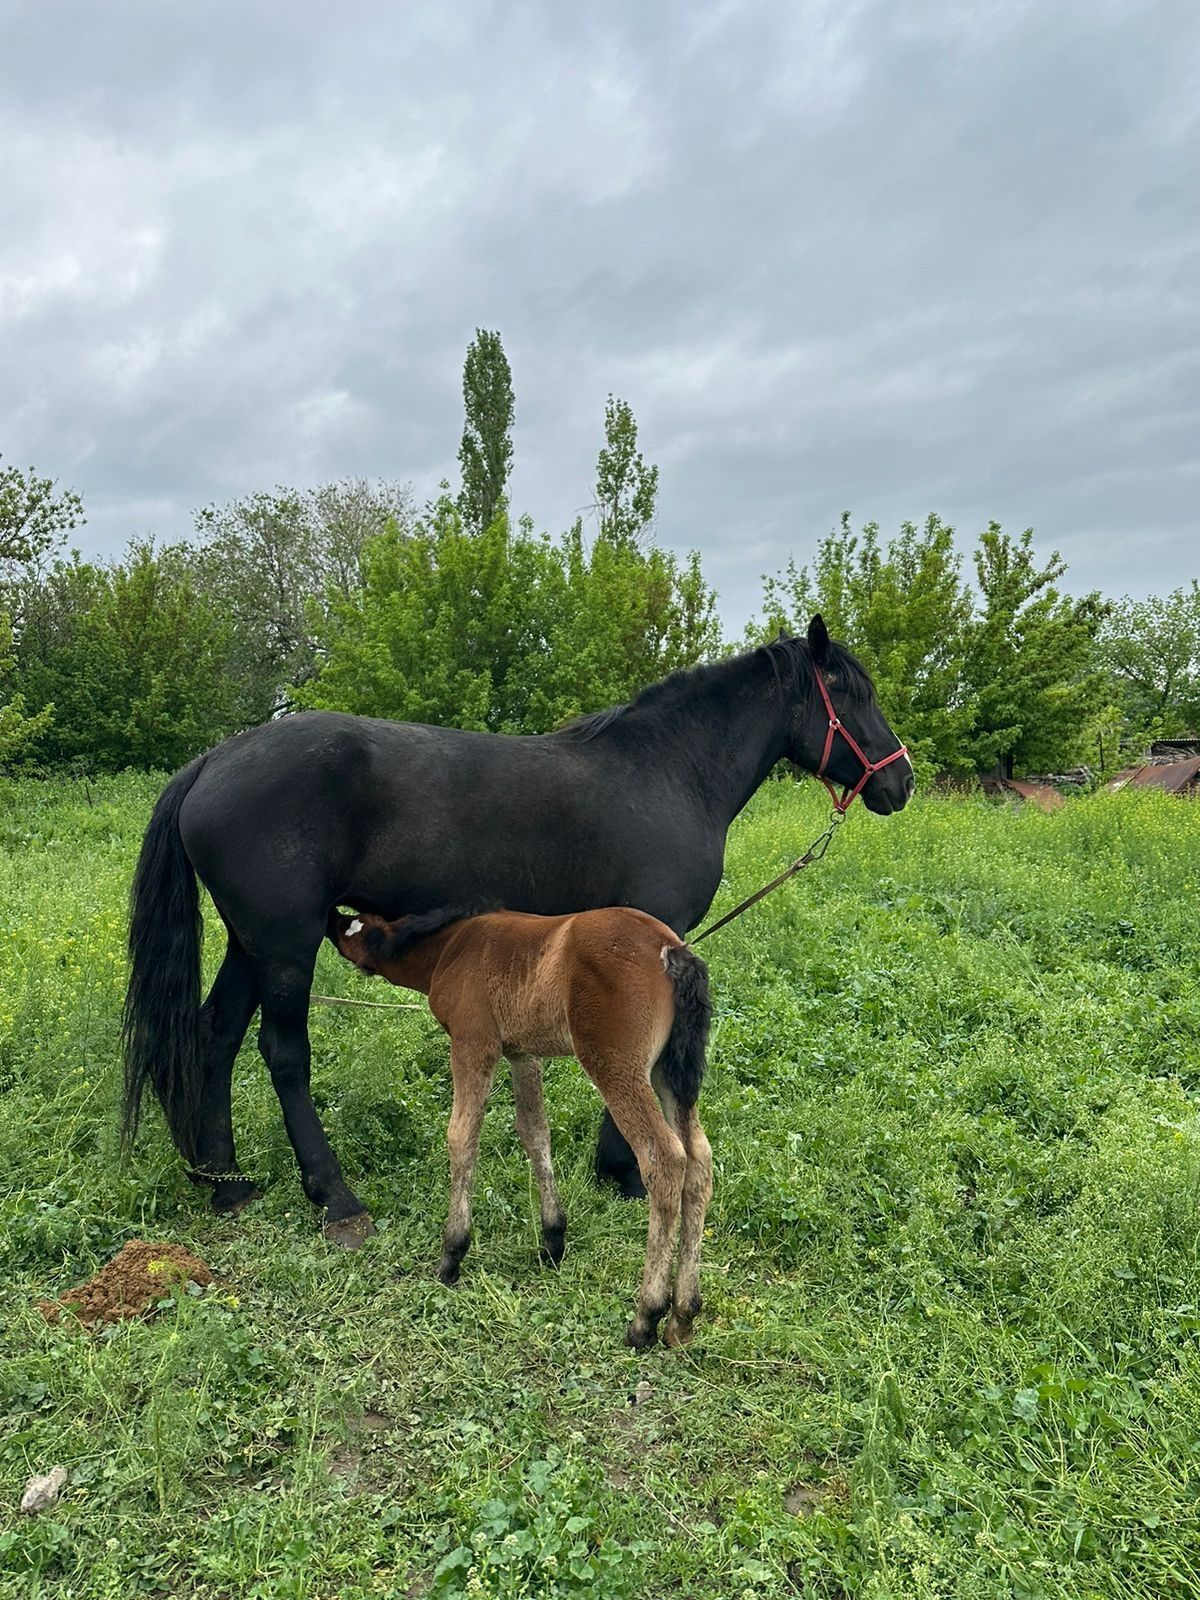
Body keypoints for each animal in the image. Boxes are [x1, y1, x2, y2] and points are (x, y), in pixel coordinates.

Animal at [122, 617, 915, 1241]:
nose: (900, 782)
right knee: (283, 1052)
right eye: (852, 693)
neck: (670, 773)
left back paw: (223, 1180)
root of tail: (212, 761)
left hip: (252, 942)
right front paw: (625, 1172)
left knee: (216, 1034)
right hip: (285, 944)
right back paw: (336, 1199)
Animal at [326, 908, 713, 1344]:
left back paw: (646, 1318)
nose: (329, 918)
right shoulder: (522, 1054)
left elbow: (461, 1136)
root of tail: (671, 950)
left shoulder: (473, 1044)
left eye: (353, 928)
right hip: (670, 1075)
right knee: (699, 1161)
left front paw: (452, 1254)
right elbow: (534, 1133)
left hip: (617, 1067)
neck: (450, 947)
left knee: (664, 1160)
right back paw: (683, 1315)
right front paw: (553, 1241)